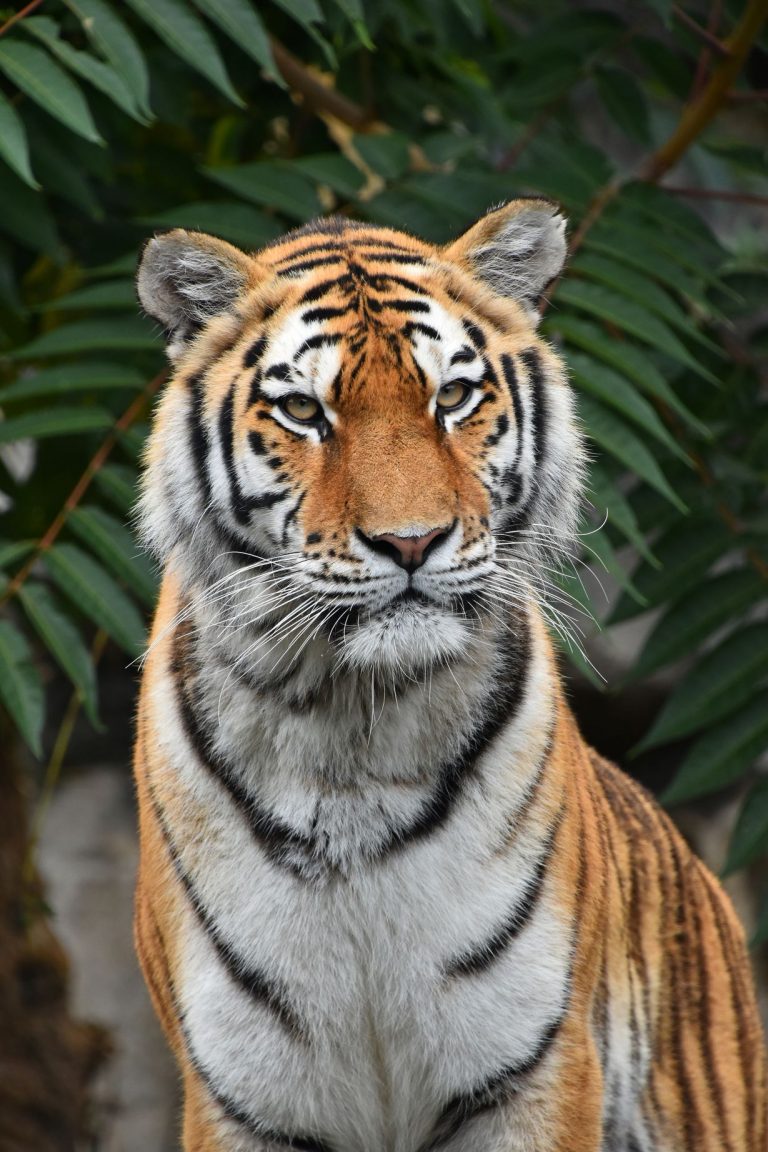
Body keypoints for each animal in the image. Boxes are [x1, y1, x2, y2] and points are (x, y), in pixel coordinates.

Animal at [135, 202, 764, 1152]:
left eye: (454, 397)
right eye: (303, 410)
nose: (411, 541)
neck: (350, 727)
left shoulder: (534, 1067)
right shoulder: (243, 1094)